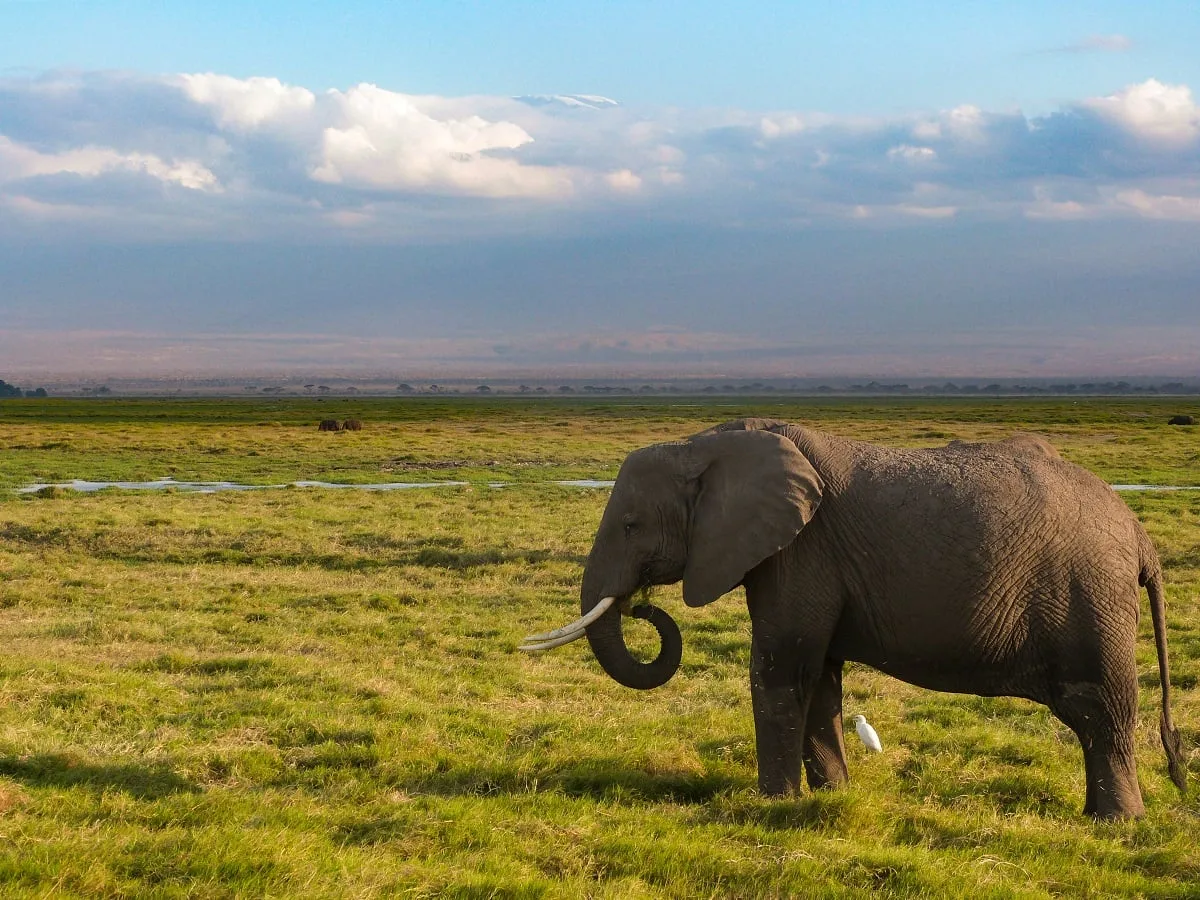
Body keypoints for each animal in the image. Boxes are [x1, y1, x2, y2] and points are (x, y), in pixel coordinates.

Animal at [522, 418, 1188, 819]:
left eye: (631, 526)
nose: (640, 604)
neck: (706, 443)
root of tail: (1139, 535)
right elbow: (819, 678)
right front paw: (830, 798)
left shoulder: (801, 552)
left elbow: (782, 669)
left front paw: (773, 805)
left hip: (1091, 597)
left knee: (1101, 708)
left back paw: (1115, 823)